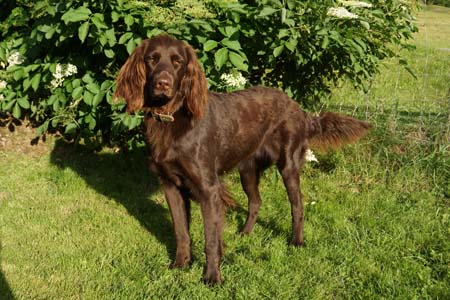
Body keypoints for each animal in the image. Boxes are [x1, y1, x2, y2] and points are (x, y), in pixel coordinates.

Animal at [112, 35, 370, 284]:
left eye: (177, 62)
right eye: (152, 59)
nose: (163, 83)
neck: (171, 118)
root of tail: (299, 109)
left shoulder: (208, 189)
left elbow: (211, 239)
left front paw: (212, 277)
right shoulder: (170, 185)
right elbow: (181, 232)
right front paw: (181, 264)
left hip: (288, 164)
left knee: (297, 204)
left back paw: (296, 241)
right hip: (247, 169)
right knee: (256, 201)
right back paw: (245, 233)